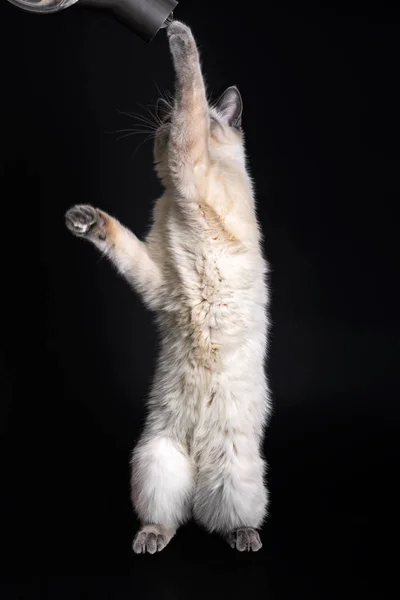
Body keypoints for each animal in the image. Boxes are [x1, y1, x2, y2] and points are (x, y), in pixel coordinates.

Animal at [66, 19, 272, 552]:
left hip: (234, 469)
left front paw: (176, 31)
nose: (160, 124)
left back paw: (243, 537)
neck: (173, 200)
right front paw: (82, 220)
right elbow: (117, 238)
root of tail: (199, 465)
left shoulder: (190, 167)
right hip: (154, 457)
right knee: (174, 515)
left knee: (225, 516)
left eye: (165, 120)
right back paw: (151, 538)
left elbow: (193, 89)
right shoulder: (157, 280)